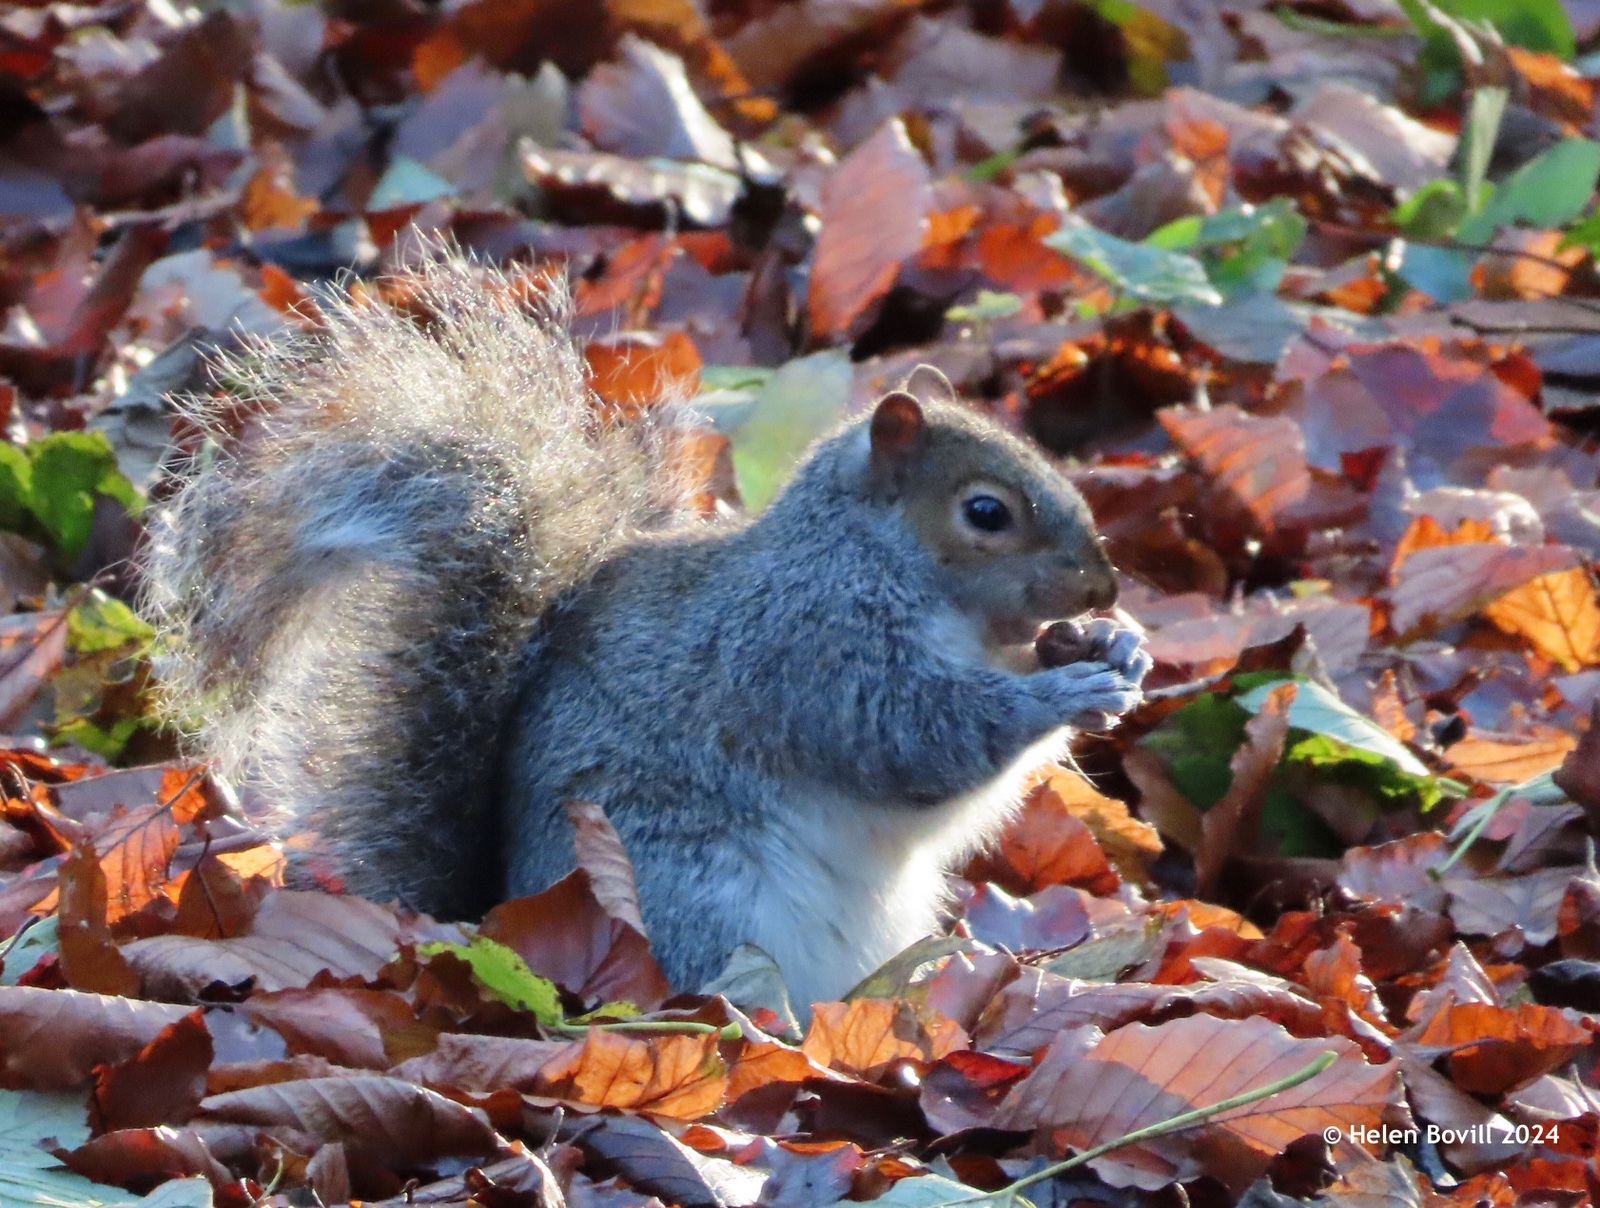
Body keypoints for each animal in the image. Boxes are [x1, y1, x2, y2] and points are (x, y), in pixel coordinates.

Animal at [144, 251, 1152, 1004]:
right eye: (986, 513)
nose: (1102, 586)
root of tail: (494, 918)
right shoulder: (806, 652)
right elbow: (913, 738)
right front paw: (1061, 689)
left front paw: (1112, 649)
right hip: (691, 894)